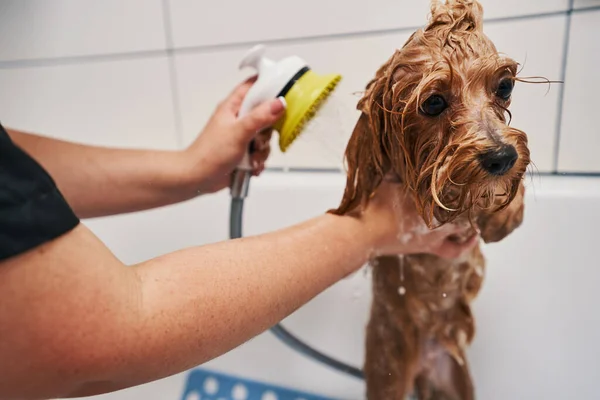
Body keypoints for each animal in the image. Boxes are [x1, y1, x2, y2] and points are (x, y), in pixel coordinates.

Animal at [330, 0, 532, 400]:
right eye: (434, 102)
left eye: (504, 86)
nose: (502, 157)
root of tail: (427, 358)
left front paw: (503, 211)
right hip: (387, 374)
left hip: (455, 381)